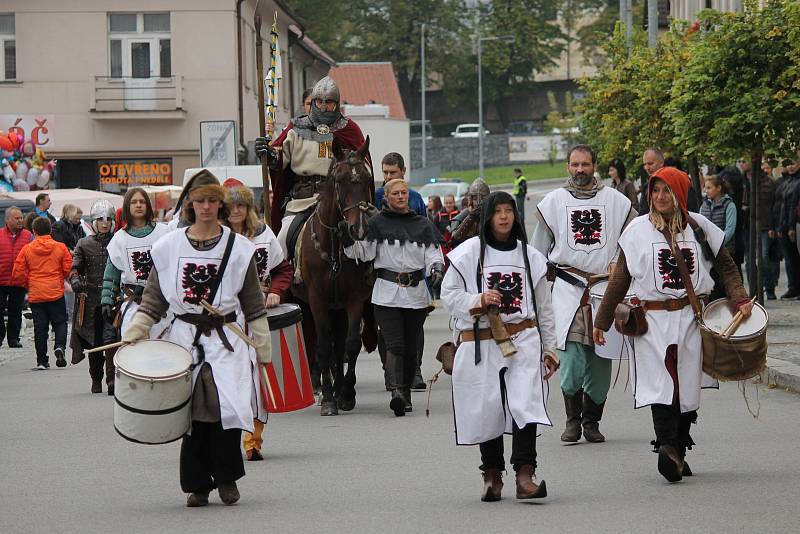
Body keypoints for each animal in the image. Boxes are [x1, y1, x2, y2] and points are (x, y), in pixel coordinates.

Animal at [298, 136, 376, 416]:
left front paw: (346, 394)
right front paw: (330, 399)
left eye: (366, 178)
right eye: (340, 180)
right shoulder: (317, 300)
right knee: (323, 345)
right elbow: (323, 346)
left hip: (339, 307)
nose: (358, 229)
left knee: (340, 344)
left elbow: (351, 345)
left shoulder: (354, 299)